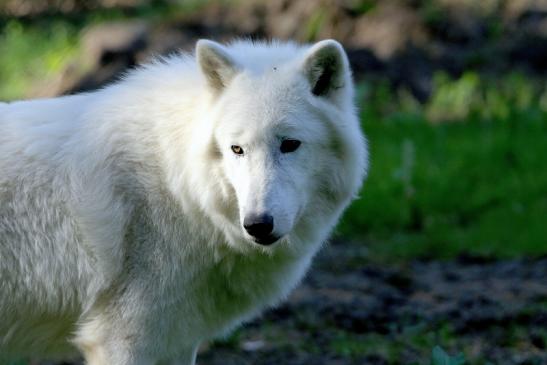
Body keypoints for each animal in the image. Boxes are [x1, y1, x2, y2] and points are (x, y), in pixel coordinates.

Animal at [1, 38, 368, 362]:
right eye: (237, 149)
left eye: (290, 144)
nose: (257, 225)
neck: (179, 186)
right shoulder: (121, 339)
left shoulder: (176, 338)